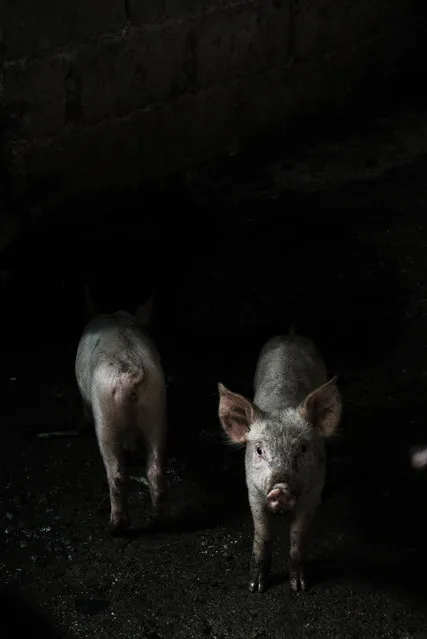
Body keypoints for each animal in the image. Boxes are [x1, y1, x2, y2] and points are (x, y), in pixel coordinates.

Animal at [75, 296, 167, 536]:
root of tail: (131, 373)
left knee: (116, 472)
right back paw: (158, 520)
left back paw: (116, 526)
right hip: (155, 406)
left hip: (106, 412)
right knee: (155, 469)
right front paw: (132, 449)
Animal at [219, 332, 342, 592]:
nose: (281, 486)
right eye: (259, 450)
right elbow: (263, 535)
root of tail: (291, 334)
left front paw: (299, 587)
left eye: (303, 448)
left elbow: (298, 536)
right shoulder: (254, 491)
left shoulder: (312, 491)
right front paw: (255, 587)